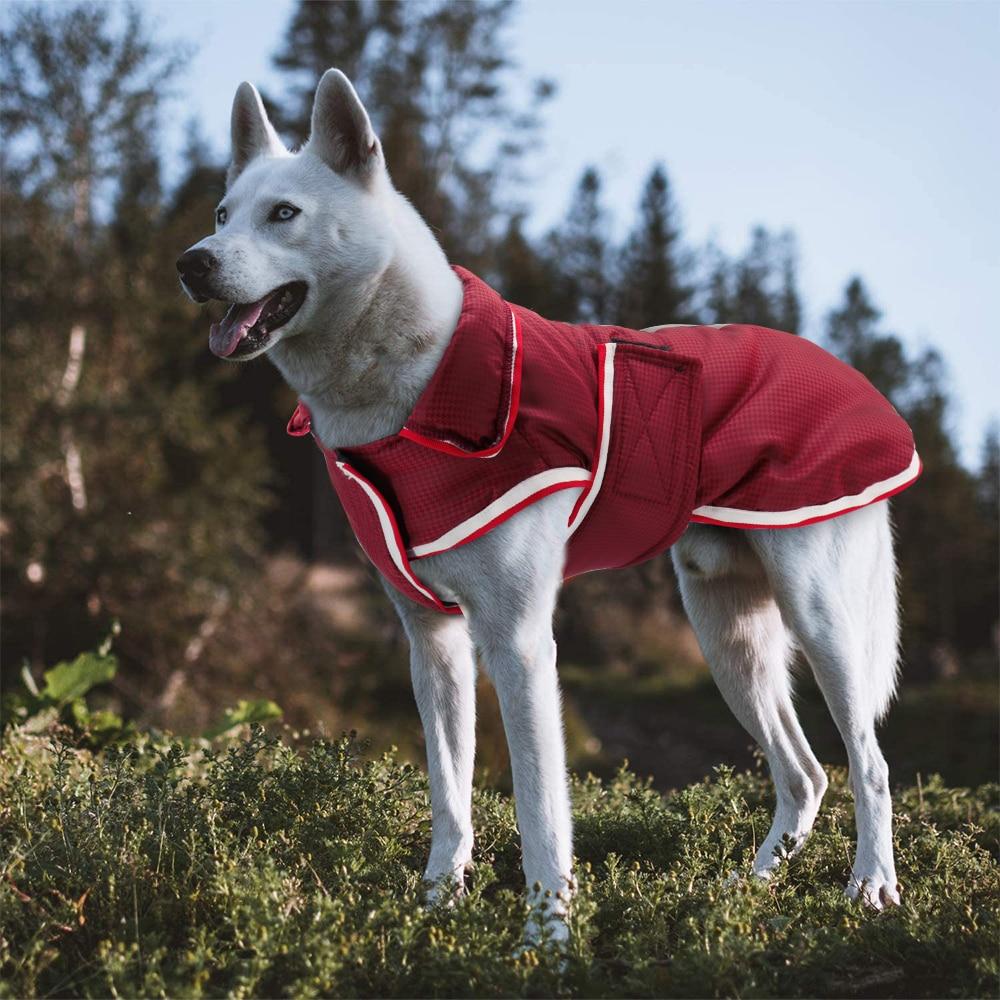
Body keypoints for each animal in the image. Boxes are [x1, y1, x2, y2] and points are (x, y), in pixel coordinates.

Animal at [178, 70, 908, 944]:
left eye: (284, 214)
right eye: (224, 214)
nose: (190, 264)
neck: (413, 384)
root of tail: (851, 378)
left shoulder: (520, 643)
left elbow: (540, 811)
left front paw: (547, 939)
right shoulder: (433, 645)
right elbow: (451, 799)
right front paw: (437, 909)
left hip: (821, 621)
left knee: (868, 762)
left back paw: (870, 886)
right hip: (728, 634)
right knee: (802, 775)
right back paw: (743, 893)